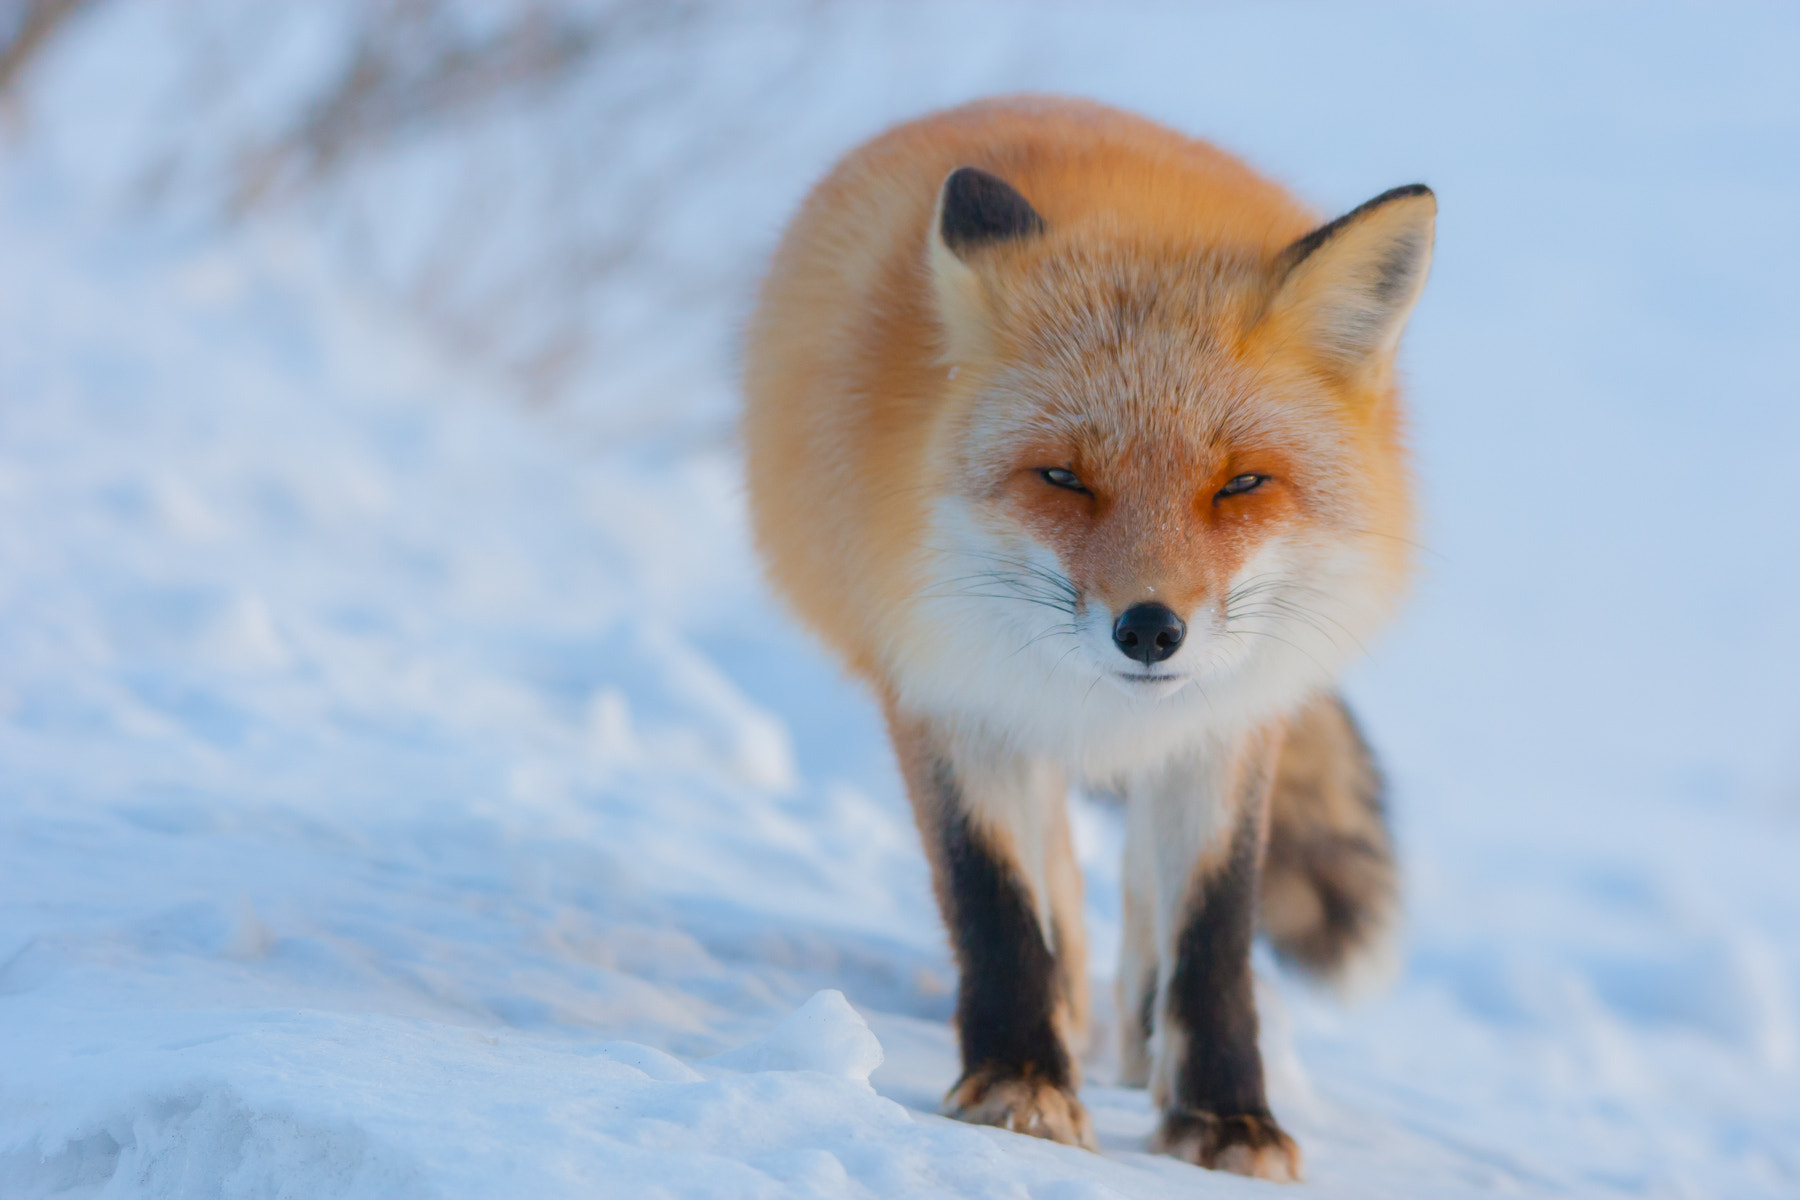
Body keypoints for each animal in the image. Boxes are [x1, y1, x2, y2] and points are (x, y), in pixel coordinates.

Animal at [742, 96, 1430, 1182]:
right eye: (1064, 478)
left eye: (1241, 483)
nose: (1150, 629)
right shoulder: (950, 698)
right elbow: (996, 899)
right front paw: (1020, 1079)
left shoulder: (1228, 727)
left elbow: (1213, 931)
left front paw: (1226, 1117)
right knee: (1059, 882)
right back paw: (1068, 1022)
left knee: (1143, 897)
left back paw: (1139, 1035)